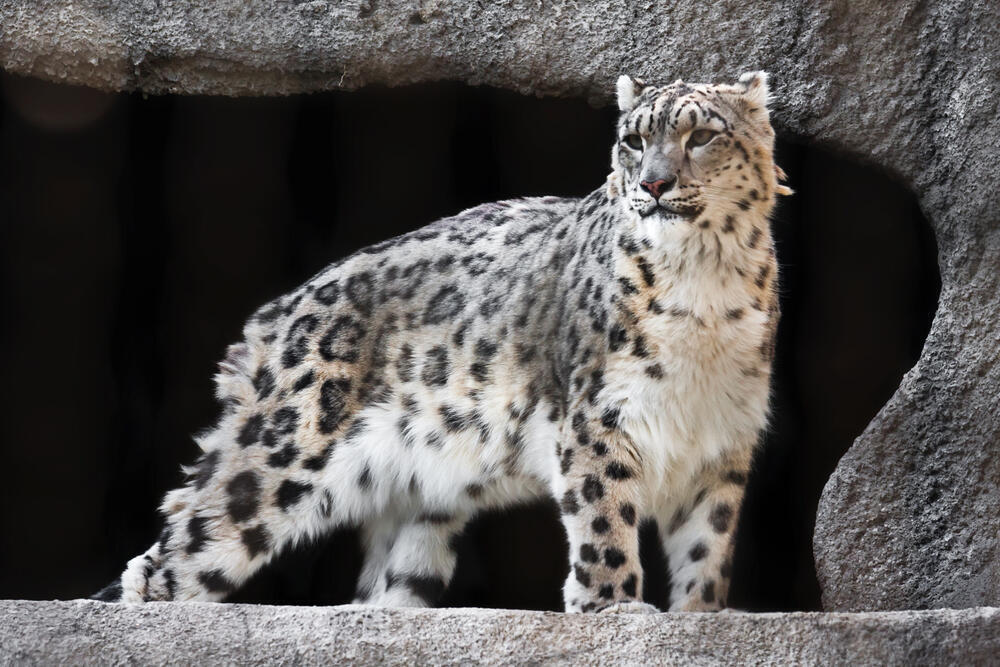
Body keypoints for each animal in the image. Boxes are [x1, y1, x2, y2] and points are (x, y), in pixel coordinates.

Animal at [95, 72, 796, 616]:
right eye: (633, 140)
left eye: (701, 135)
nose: (652, 184)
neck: (705, 291)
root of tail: (278, 312)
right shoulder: (598, 419)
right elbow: (606, 520)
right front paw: (614, 608)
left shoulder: (722, 437)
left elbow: (707, 542)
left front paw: (702, 613)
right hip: (288, 446)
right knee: (187, 538)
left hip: (424, 507)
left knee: (387, 586)